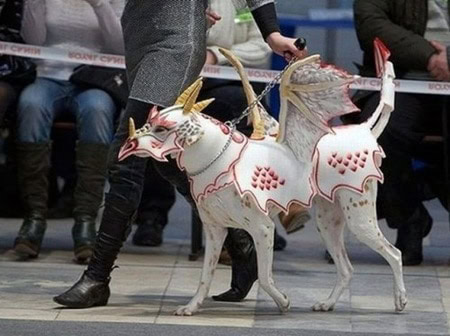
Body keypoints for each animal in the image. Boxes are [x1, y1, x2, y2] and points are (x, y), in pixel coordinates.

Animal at [118, 46, 406, 316]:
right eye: (150, 120)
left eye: (162, 128)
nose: (127, 145)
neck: (220, 161)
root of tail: (364, 131)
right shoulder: (215, 231)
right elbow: (204, 277)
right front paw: (192, 306)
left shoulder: (263, 230)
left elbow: (266, 279)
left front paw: (283, 301)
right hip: (328, 223)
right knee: (346, 269)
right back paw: (328, 303)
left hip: (360, 221)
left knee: (395, 254)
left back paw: (400, 300)